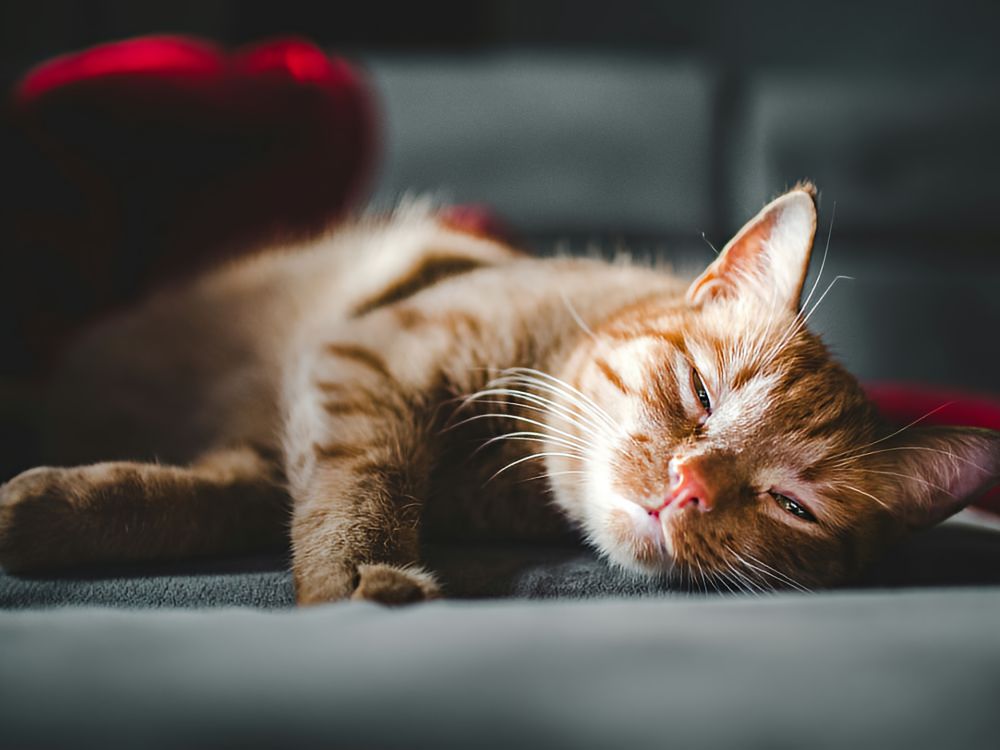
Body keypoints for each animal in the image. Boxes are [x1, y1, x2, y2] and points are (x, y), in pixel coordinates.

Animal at [1, 184, 1000, 604]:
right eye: (701, 394)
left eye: (791, 505)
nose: (688, 488)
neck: (502, 482)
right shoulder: (371, 357)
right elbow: (362, 482)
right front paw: (357, 575)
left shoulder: (284, 444)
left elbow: (210, 500)